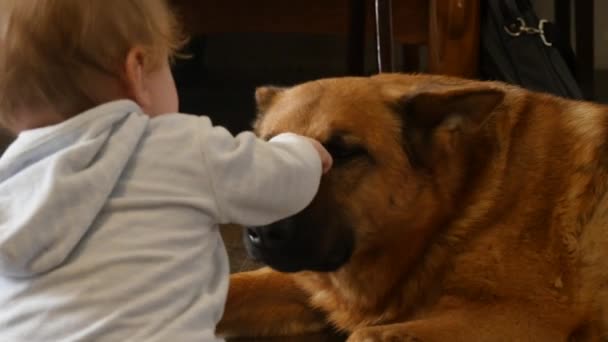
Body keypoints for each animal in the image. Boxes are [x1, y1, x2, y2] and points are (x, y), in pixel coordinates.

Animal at [215, 73, 608, 340]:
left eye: (343, 153)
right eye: (266, 151)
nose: (261, 231)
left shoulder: (526, 318)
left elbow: (366, 334)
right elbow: (232, 286)